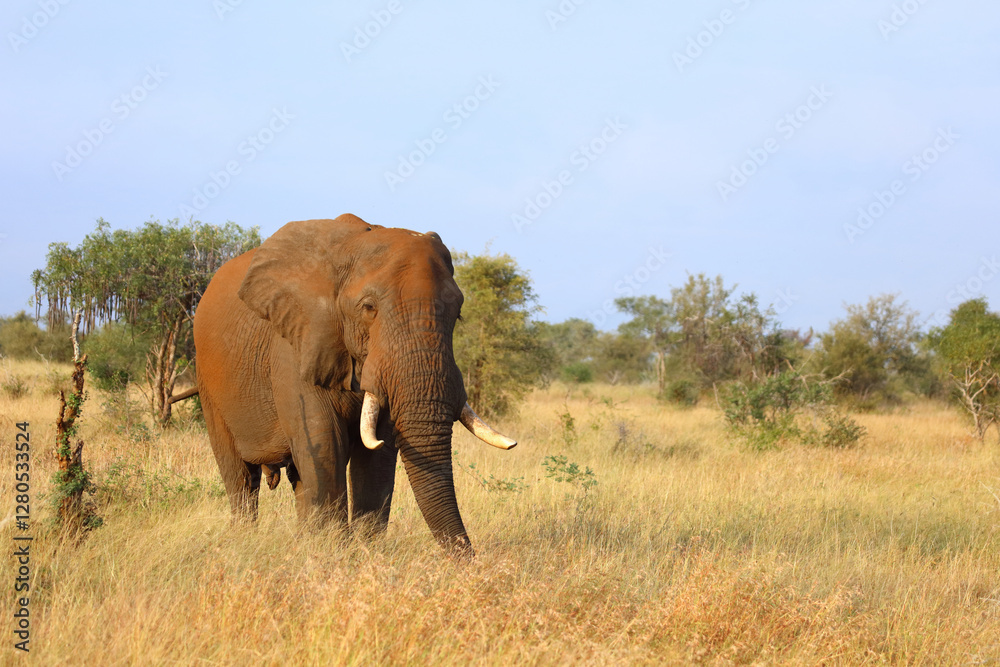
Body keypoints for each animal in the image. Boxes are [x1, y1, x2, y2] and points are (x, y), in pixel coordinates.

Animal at [192, 214, 516, 555]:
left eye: (458, 313)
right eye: (368, 308)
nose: (469, 561)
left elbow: (378, 452)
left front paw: (362, 551)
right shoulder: (296, 345)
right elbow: (325, 442)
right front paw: (332, 551)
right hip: (208, 381)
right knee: (241, 477)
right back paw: (243, 539)